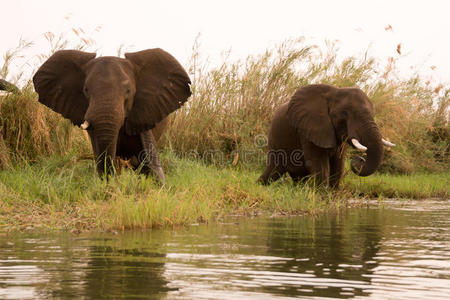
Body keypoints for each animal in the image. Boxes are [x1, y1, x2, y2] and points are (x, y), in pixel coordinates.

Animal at [258, 83, 396, 189]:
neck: (334, 92)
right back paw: (259, 185)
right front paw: (322, 195)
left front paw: (333, 195)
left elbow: (338, 164)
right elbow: (320, 164)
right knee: (273, 171)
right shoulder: (308, 129)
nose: (360, 159)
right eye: (344, 114)